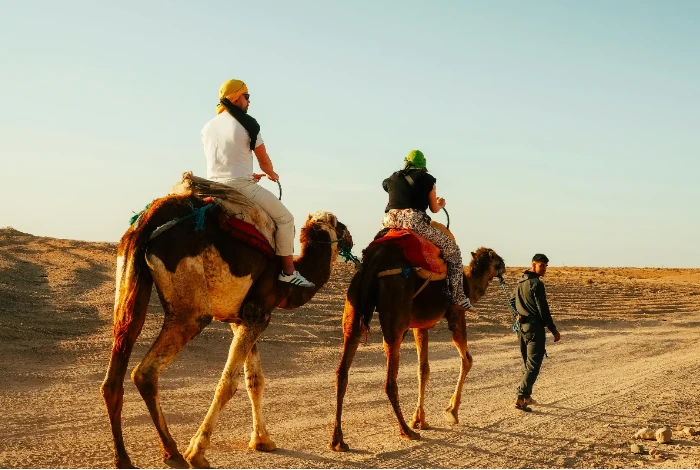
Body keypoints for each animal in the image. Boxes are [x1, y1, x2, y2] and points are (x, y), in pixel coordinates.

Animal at [100, 190, 353, 470]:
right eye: (338, 224)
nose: (350, 237)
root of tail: (147, 222)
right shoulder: (257, 314)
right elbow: (228, 384)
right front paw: (197, 453)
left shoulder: (243, 318)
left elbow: (254, 380)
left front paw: (262, 441)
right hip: (191, 312)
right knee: (145, 372)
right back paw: (175, 453)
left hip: (130, 283)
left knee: (117, 364)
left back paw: (125, 458)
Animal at [329, 238, 505, 451]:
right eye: (497, 259)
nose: (504, 265)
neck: (469, 285)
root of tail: (375, 261)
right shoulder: (456, 314)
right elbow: (467, 360)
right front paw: (451, 412)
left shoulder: (420, 326)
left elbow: (423, 369)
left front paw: (420, 419)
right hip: (396, 314)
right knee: (390, 380)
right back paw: (406, 431)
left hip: (354, 305)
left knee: (342, 370)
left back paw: (338, 440)